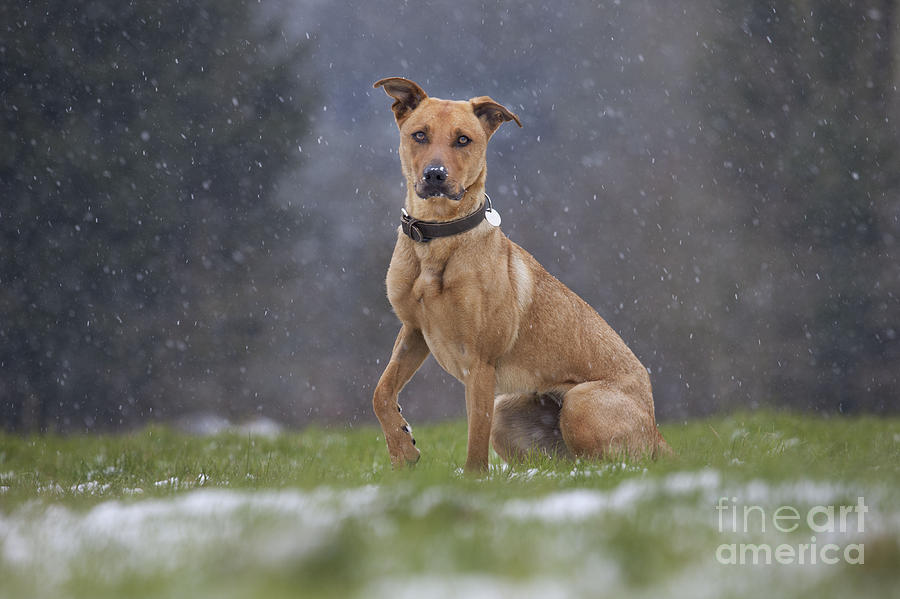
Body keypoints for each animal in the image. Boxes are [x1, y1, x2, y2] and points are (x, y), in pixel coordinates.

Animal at [372, 76, 668, 474]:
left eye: (463, 139)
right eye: (419, 135)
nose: (435, 175)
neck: (437, 240)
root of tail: (656, 431)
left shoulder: (479, 362)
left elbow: (475, 439)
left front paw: (471, 479)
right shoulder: (415, 331)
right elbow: (381, 391)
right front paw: (403, 449)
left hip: (580, 403)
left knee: (614, 462)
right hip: (509, 410)